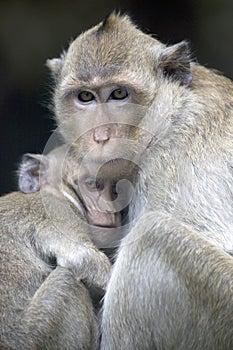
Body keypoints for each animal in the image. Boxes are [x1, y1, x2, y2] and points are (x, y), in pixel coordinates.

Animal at [0, 144, 125, 348]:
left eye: (115, 189)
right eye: (93, 184)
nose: (110, 210)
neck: (58, 191)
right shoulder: (58, 211)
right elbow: (83, 257)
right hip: (35, 336)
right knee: (68, 278)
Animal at [46, 12, 233, 348]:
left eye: (119, 94)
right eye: (85, 97)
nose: (100, 136)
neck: (167, 115)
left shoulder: (167, 167)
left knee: (152, 235)